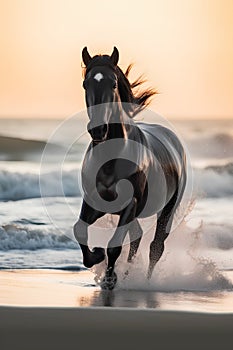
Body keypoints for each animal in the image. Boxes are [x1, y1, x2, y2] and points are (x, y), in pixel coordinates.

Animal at [73, 48, 187, 290]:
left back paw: (145, 281)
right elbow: (79, 230)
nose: (98, 130)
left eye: (113, 83)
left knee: (156, 246)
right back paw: (127, 274)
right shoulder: (93, 201)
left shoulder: (129, 204)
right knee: (137, 237)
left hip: (168, 209)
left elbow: (115, 245)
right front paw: (96, 257)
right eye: (86, 84)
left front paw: (109, 279)